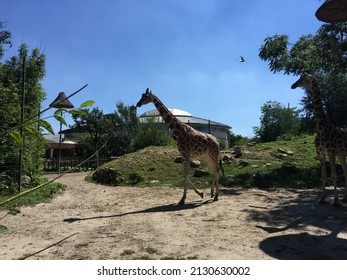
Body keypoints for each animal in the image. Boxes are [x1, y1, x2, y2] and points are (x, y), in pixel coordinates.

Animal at [290, 72, 347, 206]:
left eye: (304, 78)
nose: (293, 85)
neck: (320, 129)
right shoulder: (320, 153)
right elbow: (324, 176)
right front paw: (321, 199)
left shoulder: (331, 153)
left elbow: (333, 176)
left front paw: (335, 201)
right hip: (342, 154)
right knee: (346, 172)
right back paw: (345, 198)